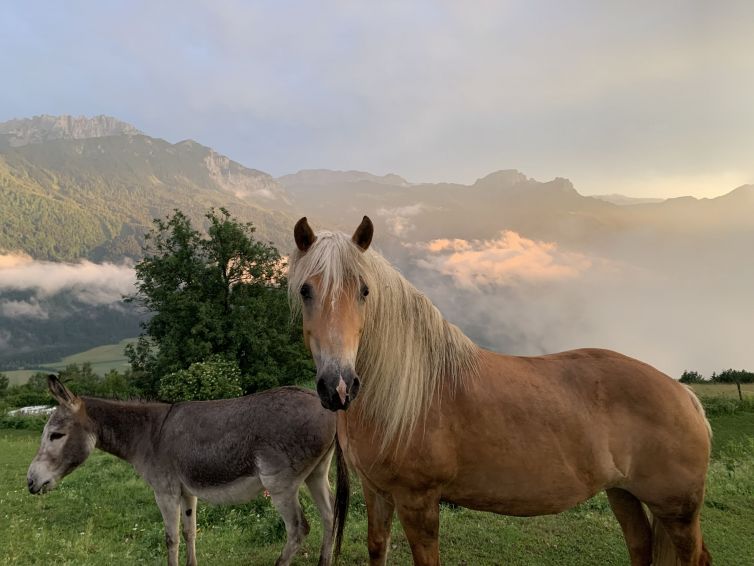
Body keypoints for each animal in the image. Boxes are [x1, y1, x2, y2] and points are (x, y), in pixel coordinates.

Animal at [27, 378, 346, 566]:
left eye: (56, 435)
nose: (30, 482)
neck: (148, 434)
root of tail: (329, 409)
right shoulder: (187, 492)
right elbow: (190, 532)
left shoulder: (165, 492)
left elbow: (171, 538)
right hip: (316, 473)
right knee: (330, 514)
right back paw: (324, 561)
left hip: (280, 484)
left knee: (298, 528)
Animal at [286, 217, 712, 566]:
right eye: (306, 290)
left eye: (364, 291)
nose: (339, 386)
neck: (406, 396)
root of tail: (684, 395)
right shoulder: (377, 492)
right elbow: (378, 548)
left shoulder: (418, 501)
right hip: (624, 495)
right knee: (640, 547)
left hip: (677, 512)